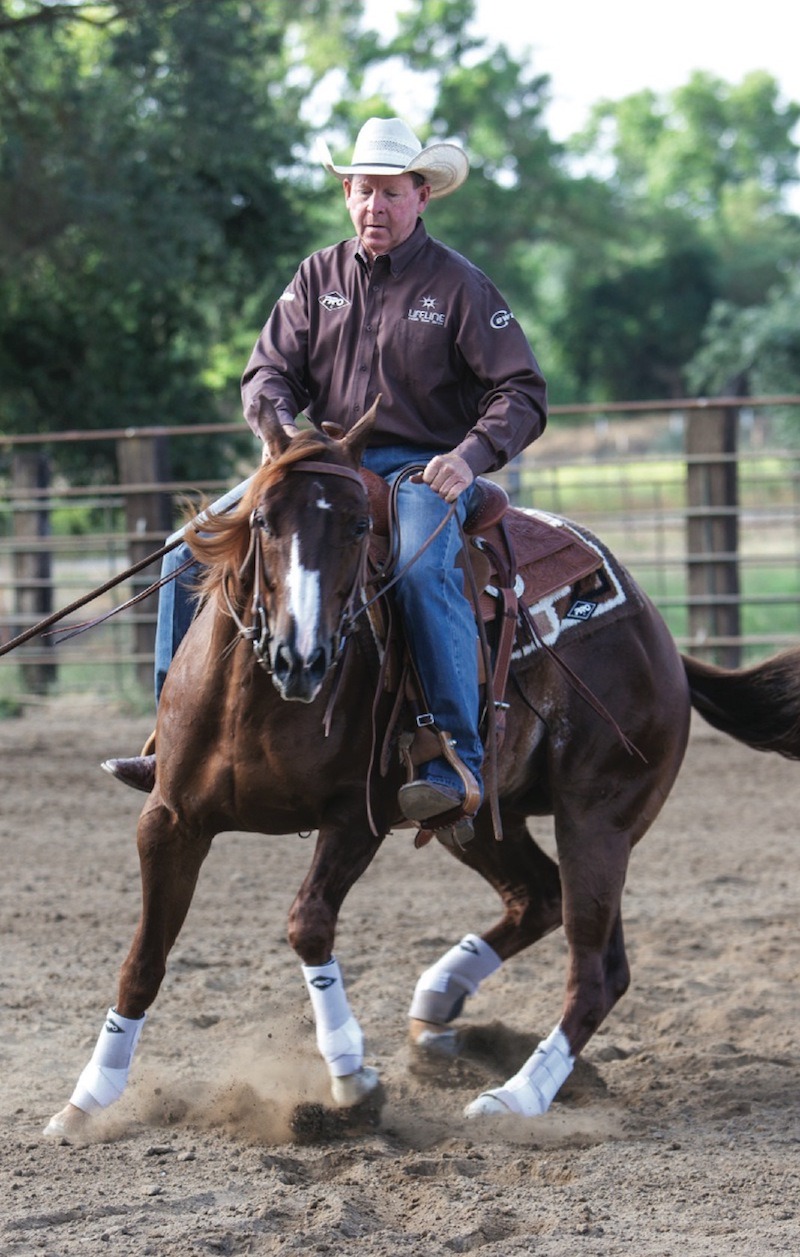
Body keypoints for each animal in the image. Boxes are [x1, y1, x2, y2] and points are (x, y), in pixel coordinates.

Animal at [45, 398, 800, 1138]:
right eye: (262, 519)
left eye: (357, 525)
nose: (301, 657)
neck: (259, 699)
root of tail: (660, 637)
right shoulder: (169, 820)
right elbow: (143, 959)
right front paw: (89, 1098)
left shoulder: (358, 817)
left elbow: (308, 923)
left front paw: (351, 1075)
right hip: (482, 817)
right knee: (538, 898)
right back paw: (439, 1012)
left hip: (599, 816)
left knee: (595, 968)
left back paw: (516, 1095)